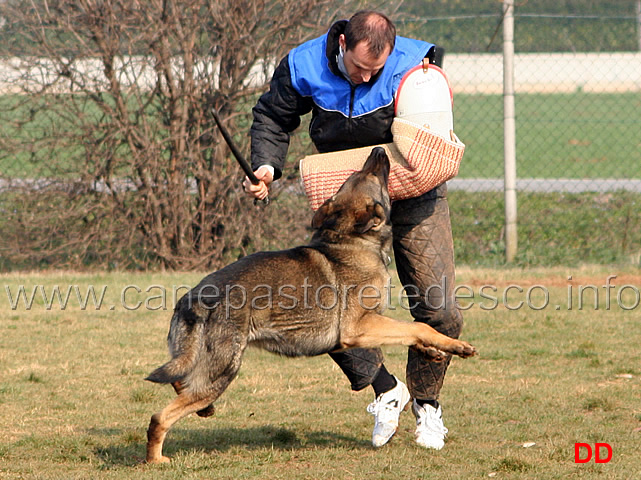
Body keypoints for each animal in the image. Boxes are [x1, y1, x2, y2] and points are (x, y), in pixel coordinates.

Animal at [145, 148, 476, 464]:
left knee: (179, 382)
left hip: (200, 365)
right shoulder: (360, 328)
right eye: (370, 174)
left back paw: (202, 413)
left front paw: (435, 351)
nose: (379, 150)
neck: (351, 239)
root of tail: (194, 298)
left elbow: (415, 331)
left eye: (356, 174)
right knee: (160, 416)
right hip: (223, 371)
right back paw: (156, 459)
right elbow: (417, 326)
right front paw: (457, 346)